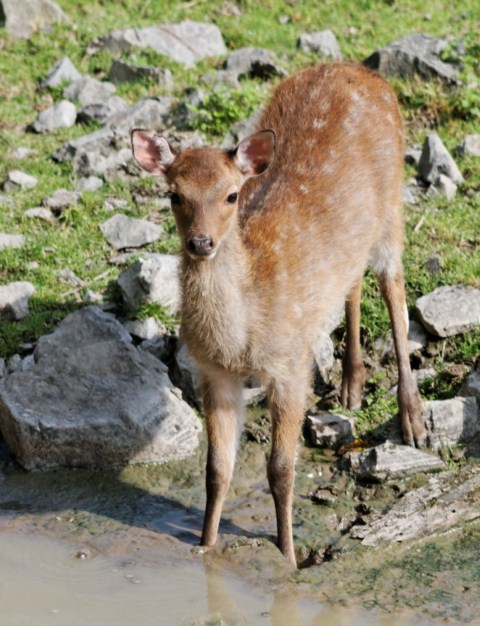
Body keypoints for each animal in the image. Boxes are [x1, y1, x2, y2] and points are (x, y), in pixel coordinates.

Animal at [129, 61, 426, 564]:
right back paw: (351, 385)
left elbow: (281, 470)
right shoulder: (213, 372)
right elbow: (217, 469)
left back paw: (413, 419)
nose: (201, 243)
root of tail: (361, 70)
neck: (242, 335)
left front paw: (287, 555)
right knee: (352, 281)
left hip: (393, 205)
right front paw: (205, 547)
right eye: (174, 195)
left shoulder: (291, 364)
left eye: (231, 195)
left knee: (394, 288)